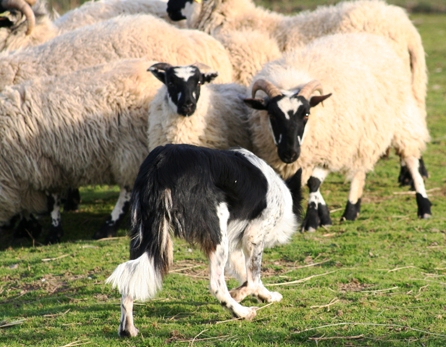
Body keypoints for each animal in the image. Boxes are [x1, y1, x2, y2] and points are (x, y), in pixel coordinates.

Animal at [107, 144, 304, 338]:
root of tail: (161, 164)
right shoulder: (253, 236)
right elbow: (253, 278)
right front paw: (241, 294)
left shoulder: (235, 246)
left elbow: (249, 276)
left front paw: (266, 296)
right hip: (217, 228)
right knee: (216, 285)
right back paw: (242, 312)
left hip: (143, 232)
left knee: (128, 280)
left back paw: (128, 329)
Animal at [242, 32, 430, 231]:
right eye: (271, 114)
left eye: (306, 114)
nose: (289, 153)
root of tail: (370, 37)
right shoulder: (320, 151)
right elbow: (310, 182)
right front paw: (323, 217)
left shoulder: (326, 148)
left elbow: (313, 182)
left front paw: (311, 222)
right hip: (364, 134)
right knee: (360, 170)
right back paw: (352, 210)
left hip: (402, 119)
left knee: (411, 160)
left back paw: (423, 207)